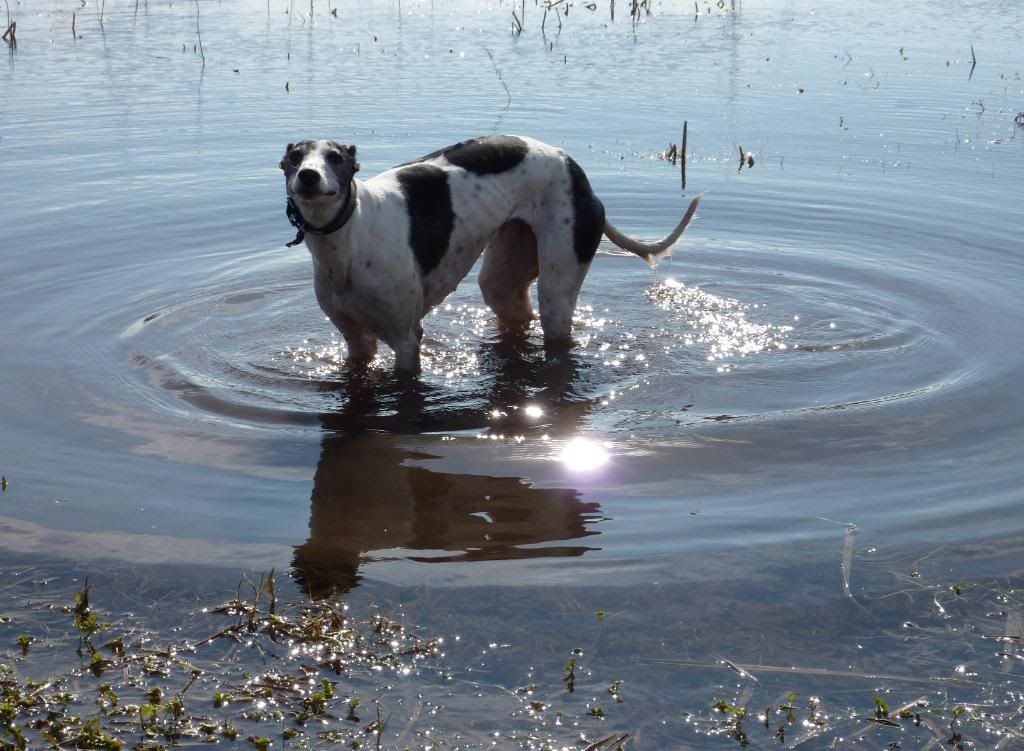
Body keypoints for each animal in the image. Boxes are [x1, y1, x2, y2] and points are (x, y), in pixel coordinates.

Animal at [276, 135, 700, 372]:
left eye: (335, 158)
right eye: (294, 159)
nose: (309, 176)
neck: (349, 239)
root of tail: (572, 166)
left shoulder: (406, 341)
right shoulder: (356, 344)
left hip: (557, 287)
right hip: (503, 277)